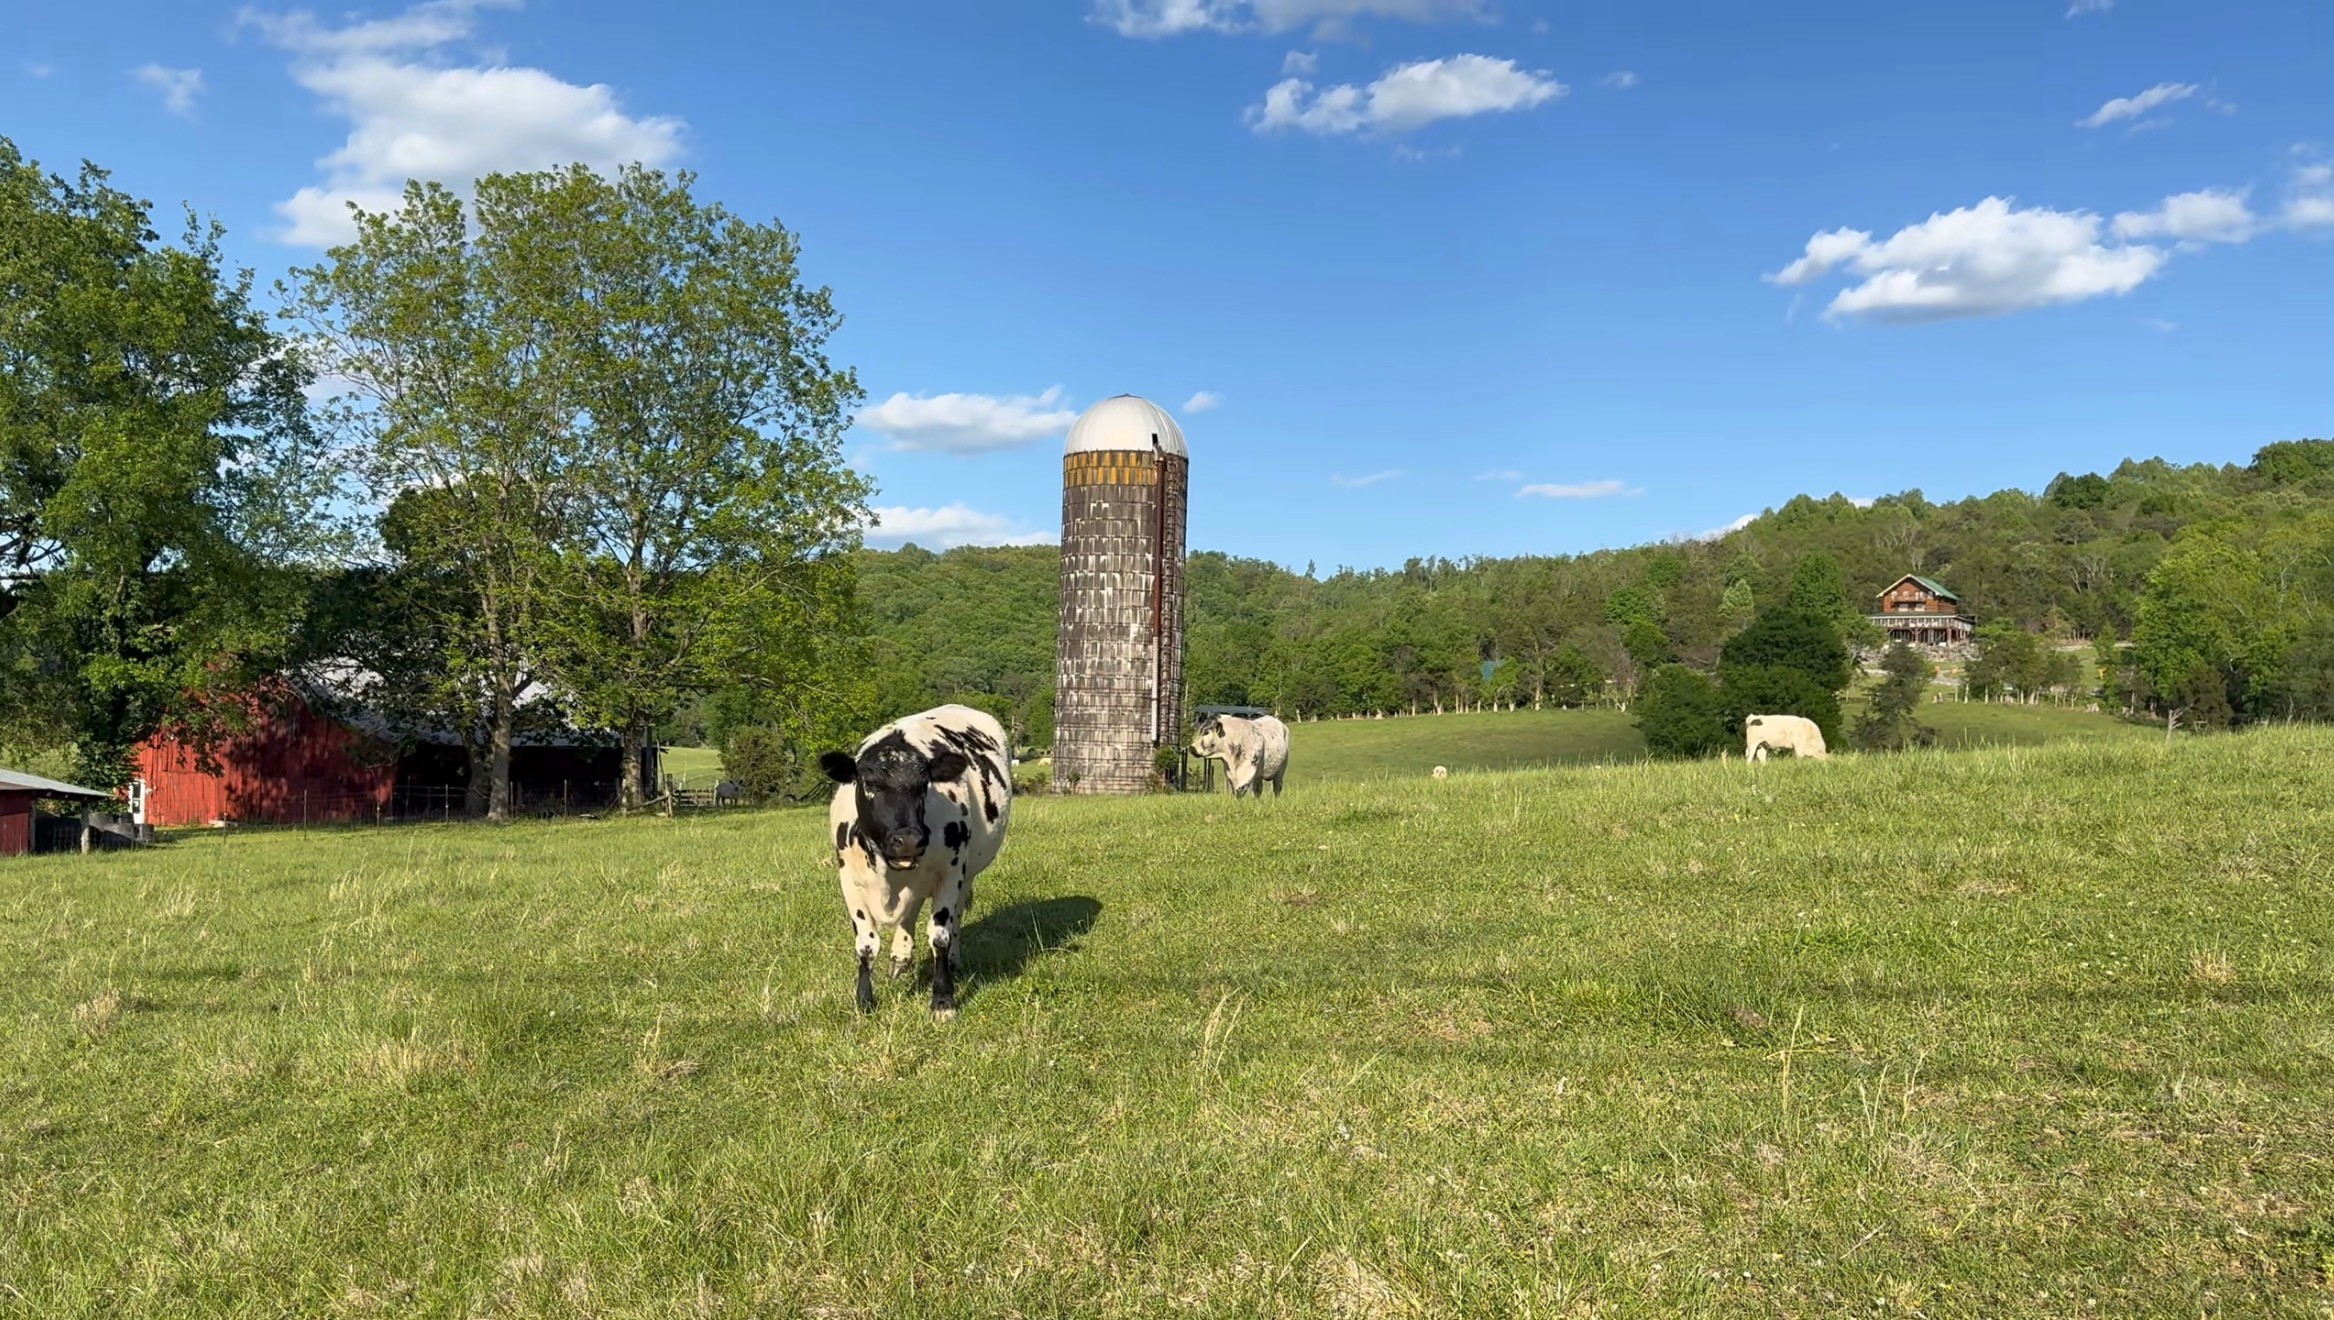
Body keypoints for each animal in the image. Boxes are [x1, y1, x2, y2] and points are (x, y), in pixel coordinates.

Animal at [820, 705, 1012, 1020]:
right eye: (869, 784)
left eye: (924, 786)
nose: (909, 839)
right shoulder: (848, 880)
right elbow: (866, 944)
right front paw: (864, 1000)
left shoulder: (950, 872)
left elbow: (939, 936)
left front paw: (943, 1000)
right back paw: (900, 957)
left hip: (967, 872)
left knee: (955, 916)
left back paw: (952, 959)